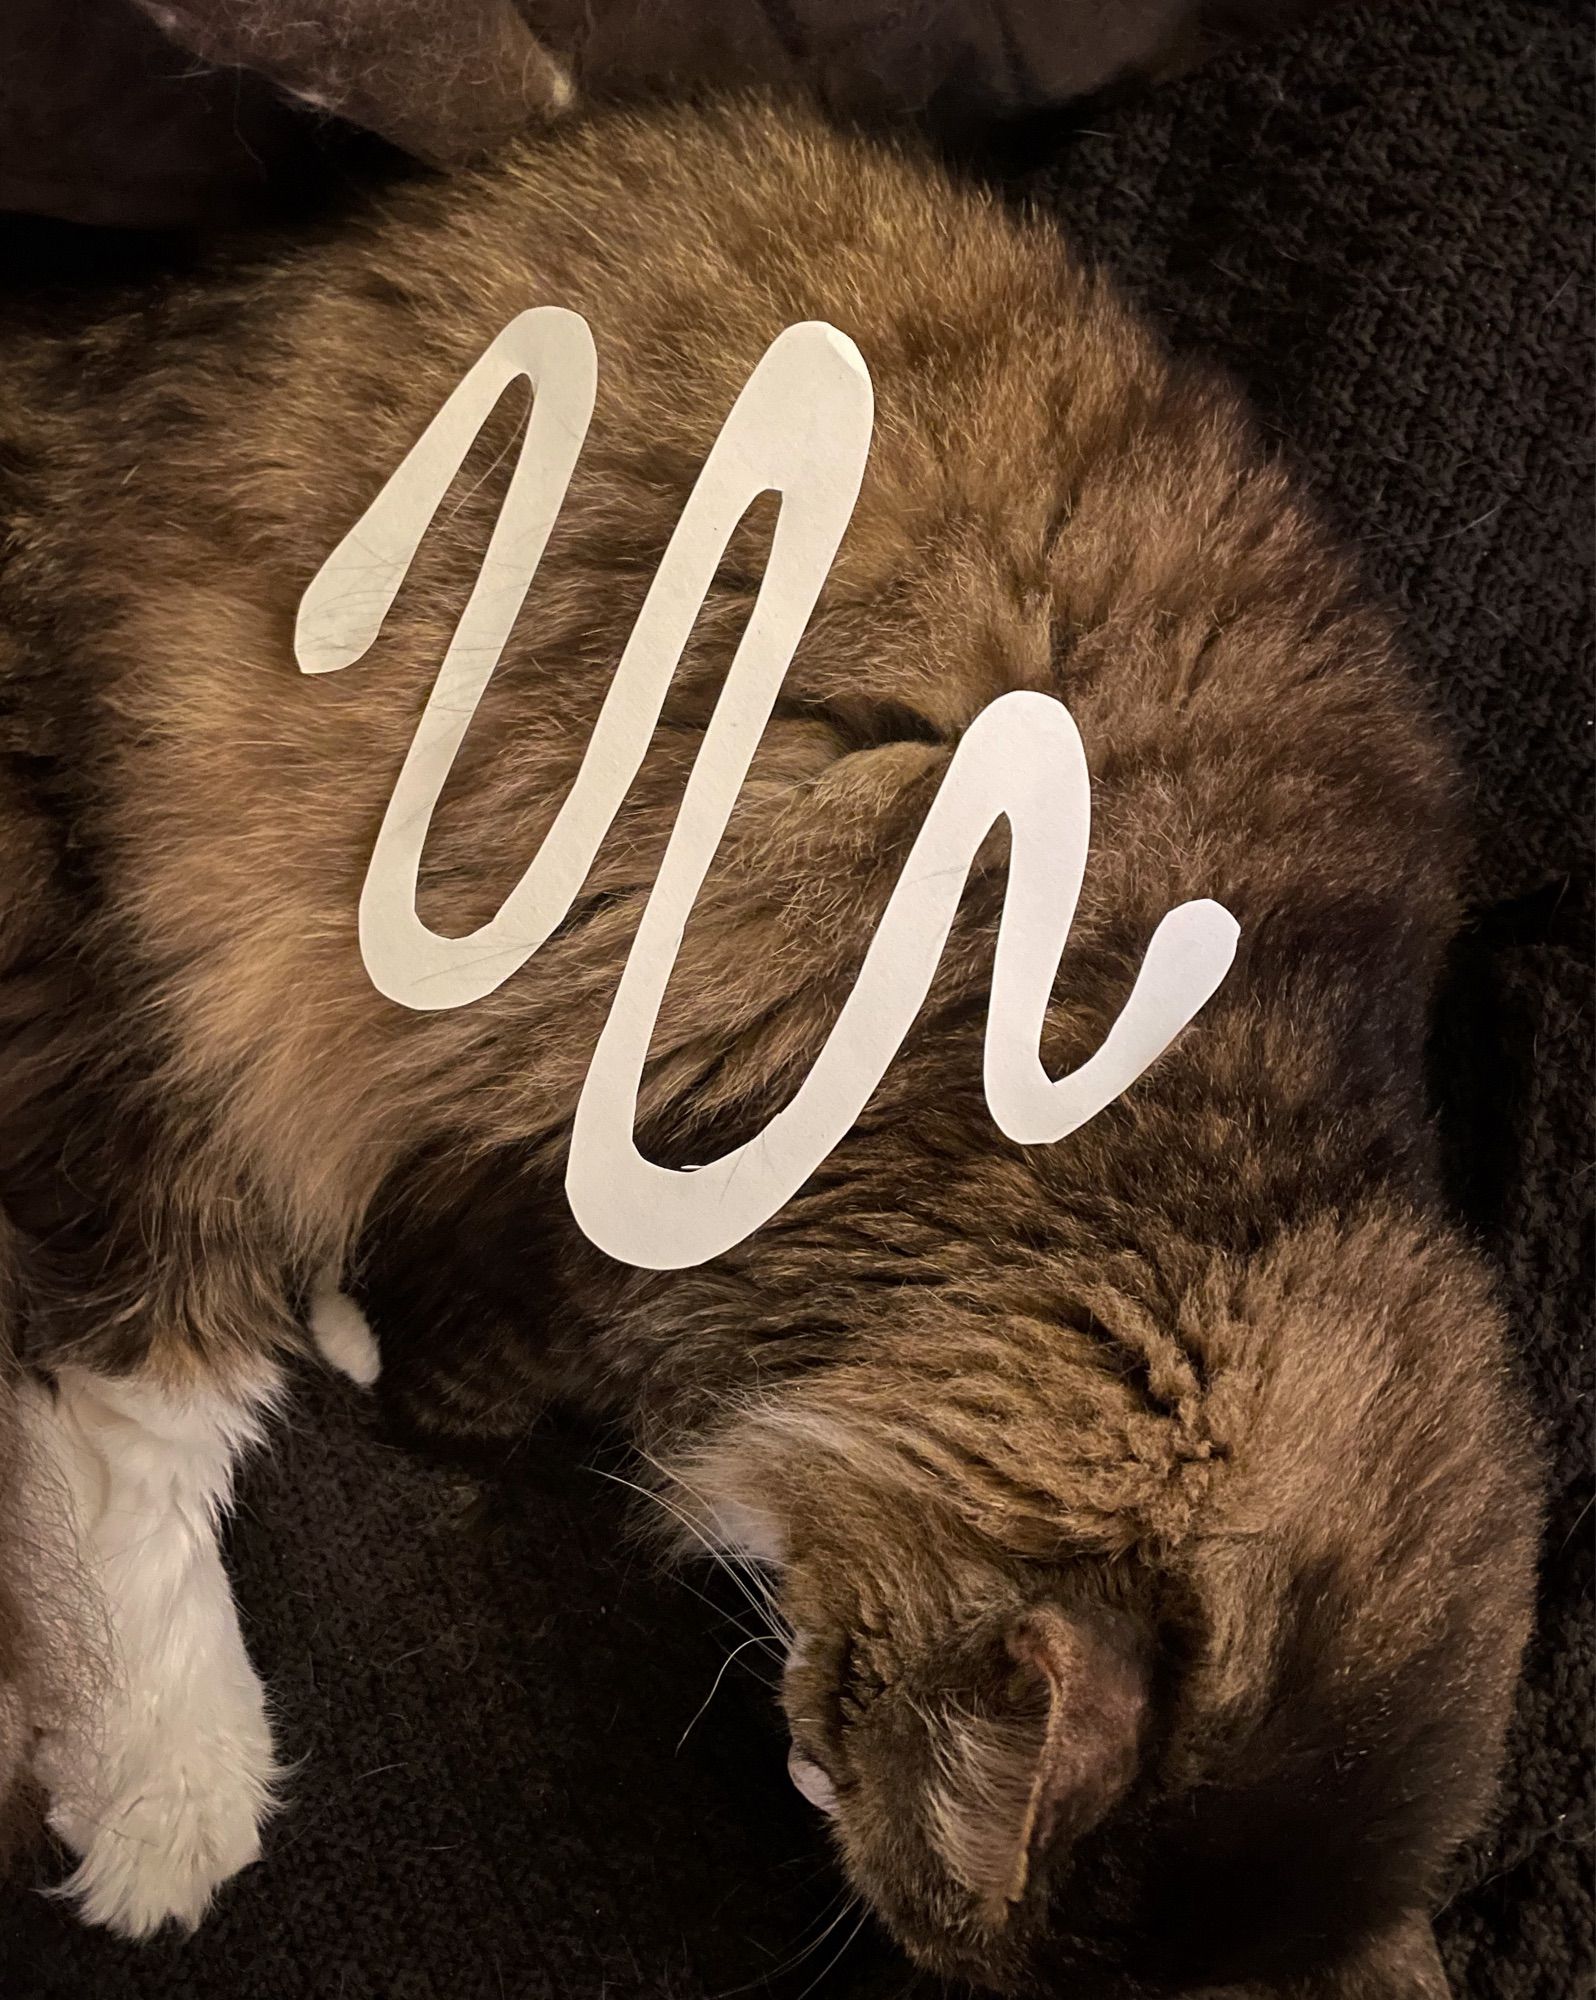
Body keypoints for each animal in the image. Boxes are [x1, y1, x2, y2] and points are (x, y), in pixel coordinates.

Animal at [0, 97, 1544, 2000]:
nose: (815, 1780)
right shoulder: (633, 1136)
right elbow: (443, 1350)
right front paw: (375, 1342)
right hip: (171, 908)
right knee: (136, 1401)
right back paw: (172, 1802)